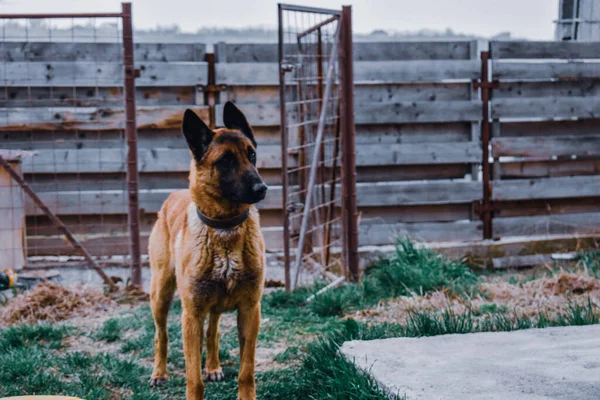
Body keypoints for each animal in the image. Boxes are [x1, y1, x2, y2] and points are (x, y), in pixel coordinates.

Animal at [148, 102, 268, 400]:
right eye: (225, 161)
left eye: (252, 154)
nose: (262, 188)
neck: (225, 231)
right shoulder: (191, 315)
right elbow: (194, 378)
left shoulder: (250, 311)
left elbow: (246, 371)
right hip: (161, 294)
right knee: (160, 335)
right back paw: (159, 373)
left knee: (213, 332)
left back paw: (213, 366)